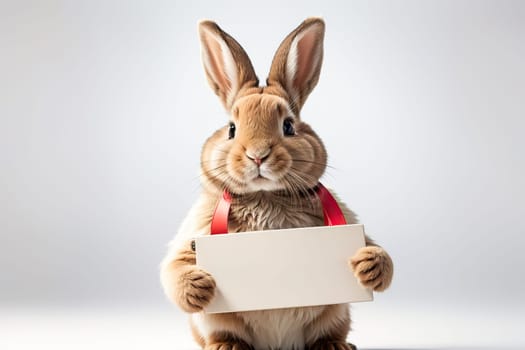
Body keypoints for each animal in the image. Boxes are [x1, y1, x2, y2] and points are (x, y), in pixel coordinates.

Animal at [160, 17, 392, 350]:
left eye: (289, 126)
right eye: (232, 128)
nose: (258, 155)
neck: (265, 195)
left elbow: (376, 248)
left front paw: (370, 264)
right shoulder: (197, 228)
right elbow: (174, 265)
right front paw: (197, 287)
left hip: (337, 312)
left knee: (330, 331)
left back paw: (334, 345)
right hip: (213, 322)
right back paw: (226, 346)